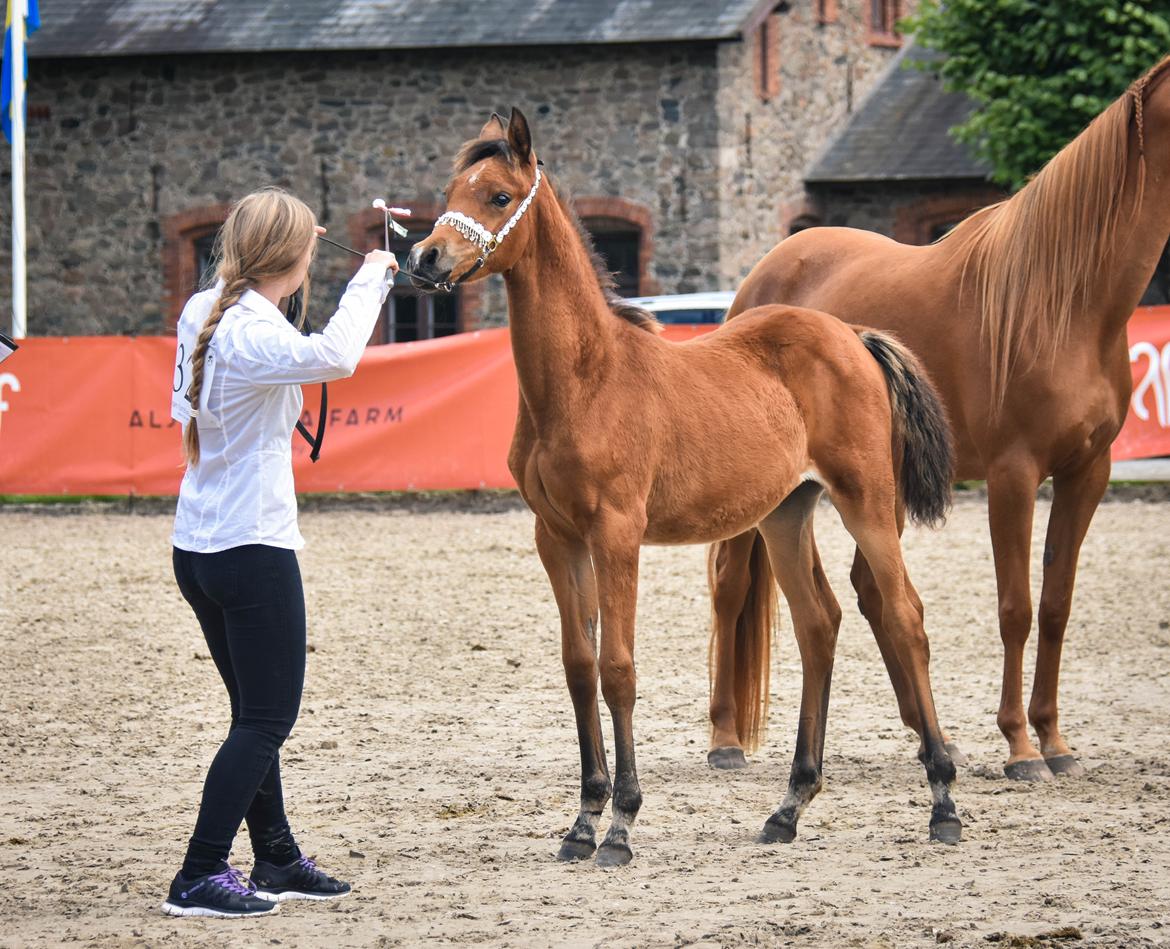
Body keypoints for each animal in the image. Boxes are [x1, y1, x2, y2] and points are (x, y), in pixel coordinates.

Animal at [409, 107, 959, 865]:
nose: (426, 259)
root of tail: (851, 335)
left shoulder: (616, 533)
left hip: (868, 502)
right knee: (819, 624)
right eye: (450, 189)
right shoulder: (557, 537)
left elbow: (618, 668)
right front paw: (582, 821)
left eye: (497, 195)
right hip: (786, 514)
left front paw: (620, 825)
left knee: (905, 616)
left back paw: (943, 801)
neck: (585, 379)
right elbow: (578, 666)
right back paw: (788, 807)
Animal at [702, 53, 1170, 781]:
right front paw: (1020, 747)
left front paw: (1055, 740)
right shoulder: (1013, 474)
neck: (1065, 300)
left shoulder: (1088, 471)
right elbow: (1016, 607)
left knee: (870, 590)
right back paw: (725, 738)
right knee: (730, 583)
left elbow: (1057, 604)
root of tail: (765, 275)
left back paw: (933, 737)